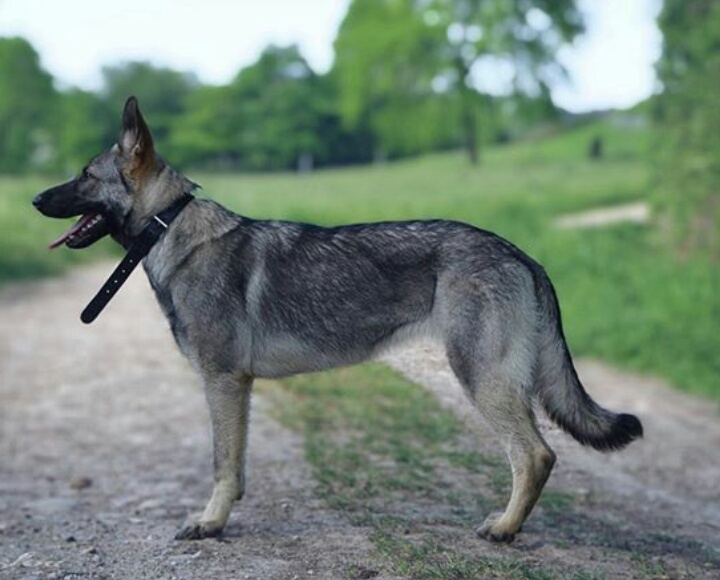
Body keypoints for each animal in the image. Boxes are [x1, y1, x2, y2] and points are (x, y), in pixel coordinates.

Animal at [33, 96, 642, 542]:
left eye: (85, 175)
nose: (36, 200)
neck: (170, 227)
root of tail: (522, 254)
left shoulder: (223, 382)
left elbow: (221, 464)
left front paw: (210, 524)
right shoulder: (237, 388)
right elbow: (237, 466)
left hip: (480, 378)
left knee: (535, 455)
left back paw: (505, 530)